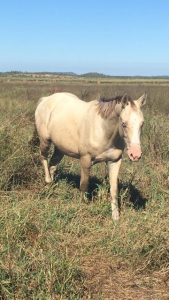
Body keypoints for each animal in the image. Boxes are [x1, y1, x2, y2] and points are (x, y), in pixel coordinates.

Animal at [35, 92, 146, 220]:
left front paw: (115, 217)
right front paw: (82, 207)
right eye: (123, 123)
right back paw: (48, 182)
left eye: (142, 124)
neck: (103, 130)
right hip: (45, 141)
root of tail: (45, 99)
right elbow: (84, 185)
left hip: (60, 148)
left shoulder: (114, 161)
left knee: (52, 165)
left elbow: (114, 190)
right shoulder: (85, 160)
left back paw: (52, 188)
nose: (135, 154)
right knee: (43, 158)